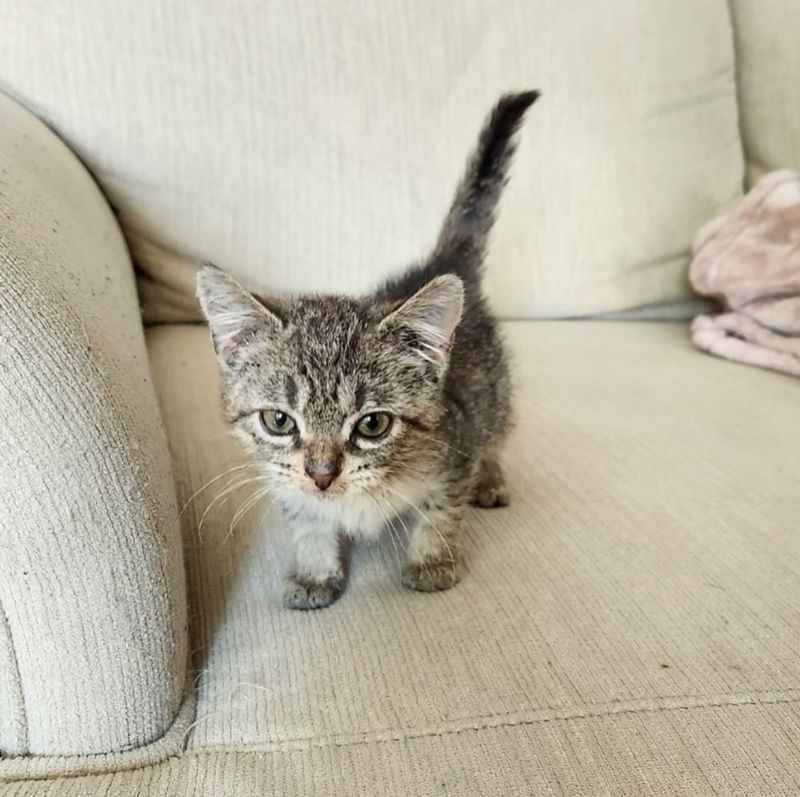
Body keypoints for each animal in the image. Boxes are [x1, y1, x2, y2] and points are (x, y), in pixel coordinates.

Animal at [197, 88, 540, 608]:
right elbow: (309, 523)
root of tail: (439, 264)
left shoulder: (454, 450)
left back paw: (491, 478)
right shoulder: (289, 485)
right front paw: (316, 572)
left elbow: (441, 511)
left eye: (373, 425)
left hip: (493, 398)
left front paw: (433, 562)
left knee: (496, 434)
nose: (321, 475)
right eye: (278, 421)